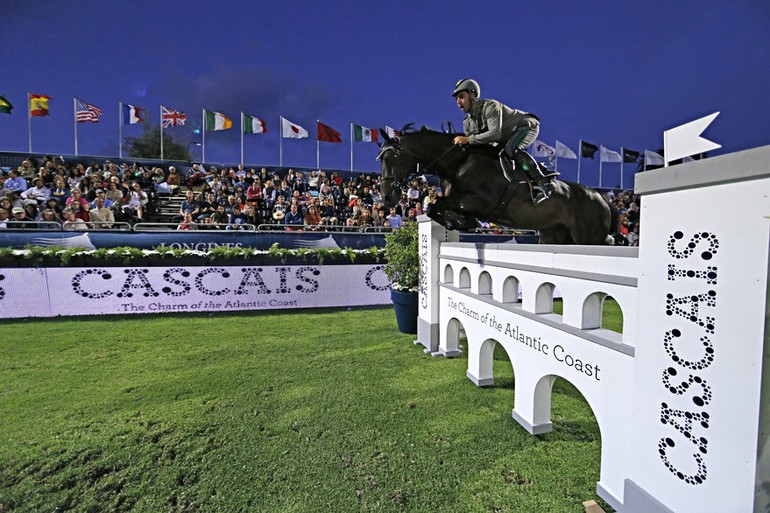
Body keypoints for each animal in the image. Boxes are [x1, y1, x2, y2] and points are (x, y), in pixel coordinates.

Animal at [376, 130, 612, 246]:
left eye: (390, 159)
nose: (387, 198)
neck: (457, 163)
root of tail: (602, 198)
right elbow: (434, 206)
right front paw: (461, 221)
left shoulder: (480, 201)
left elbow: (437, 204)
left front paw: (463, 221)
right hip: (555, 236)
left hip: (588, 238)